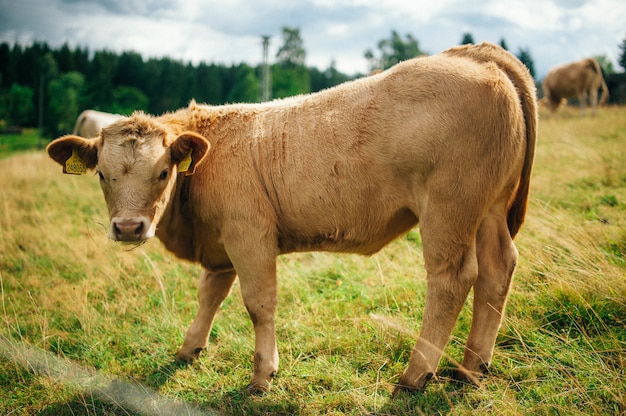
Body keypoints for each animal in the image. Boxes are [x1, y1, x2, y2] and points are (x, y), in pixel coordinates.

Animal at [47, 42, 536, 394]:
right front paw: (189, 348)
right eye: (103, 174)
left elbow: (258, 303)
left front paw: (263, 374)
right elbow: (210, 295)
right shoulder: (221, 245)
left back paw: (416, 375)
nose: (129, 227)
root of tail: (475, 53)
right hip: (489, 211)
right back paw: (472, 369)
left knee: (453, 279)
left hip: (449, 210)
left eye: (163, 172)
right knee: (497, 270)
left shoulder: (248, 234)